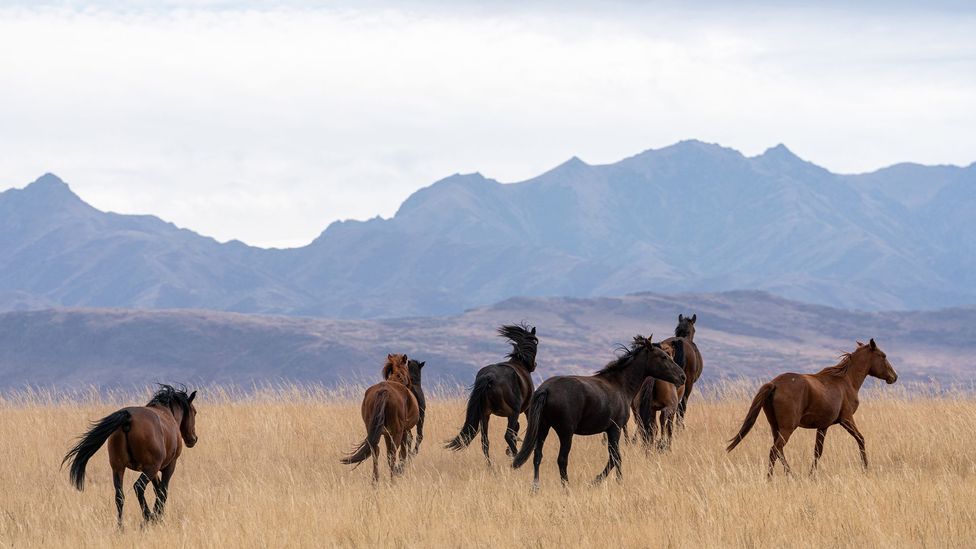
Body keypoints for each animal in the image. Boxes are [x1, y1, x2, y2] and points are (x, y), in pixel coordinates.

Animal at [60, 384, 198, 524]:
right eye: (195, 412)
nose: (193, 439)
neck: (167, 412)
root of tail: (128, 418)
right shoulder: (168, 467)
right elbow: (162, 491)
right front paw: (157, 516)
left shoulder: (152, 471)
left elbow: (157, 488)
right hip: (149, 468)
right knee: (139, 487)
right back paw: (147, 517)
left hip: (118, 468)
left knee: (119, 496)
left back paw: (121, 525)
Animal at [446, 324, 536, 464]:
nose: (534, 365)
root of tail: (489, 377)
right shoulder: (526, 409)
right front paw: (510, 451)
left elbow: (517, 427)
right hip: (512, 412)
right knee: (507, 435)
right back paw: (515, 456)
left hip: (485, 414)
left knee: (485, 441)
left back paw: (490, 465)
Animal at [510, 334, 688, 488]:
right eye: (663, 357)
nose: (682, 377)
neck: (620, 385)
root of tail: (546, 389)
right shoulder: (614, 429)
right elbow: (615, 457)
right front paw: (609, 481)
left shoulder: (610, 430)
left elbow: (614, 457)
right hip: (565, 433)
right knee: (561, 459)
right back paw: (566, 488)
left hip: (543, 428)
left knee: (537, 456)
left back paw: (535, 488)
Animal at [724, 338, 900, 476]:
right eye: (883, 356)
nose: (894, 377)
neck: (846, 381)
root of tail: (774, 385)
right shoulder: (846, 419)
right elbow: (861, 439)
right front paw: (865, 469)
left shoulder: (823, 426)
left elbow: (817, 452)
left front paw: (812, 475)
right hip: (787, 428)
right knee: (774, 450)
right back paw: (771, 478)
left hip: (775, 427)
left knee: (779, 451)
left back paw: (791, 475)